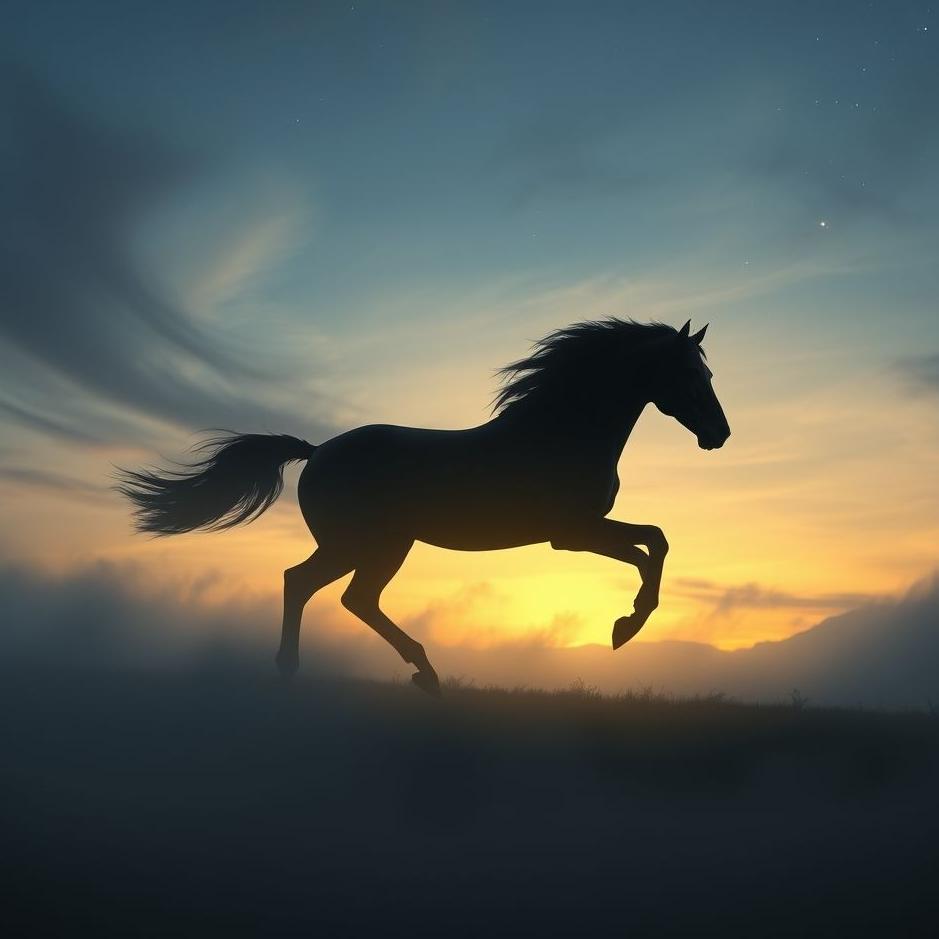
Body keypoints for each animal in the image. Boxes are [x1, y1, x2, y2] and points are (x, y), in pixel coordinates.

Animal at [118, 318, 730, 695]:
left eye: (708, 373)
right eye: (689, 374)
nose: (720, 434)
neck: (562, 432)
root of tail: (317, 452)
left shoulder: (582, 530)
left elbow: (655, 540)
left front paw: (625, 625)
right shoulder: (572, 533)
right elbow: (650, 546)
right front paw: (626, 626)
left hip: (371, 545)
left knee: (328, 590)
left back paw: (387, 672)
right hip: (370, 544)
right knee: (326, 589)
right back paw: (387, 671)